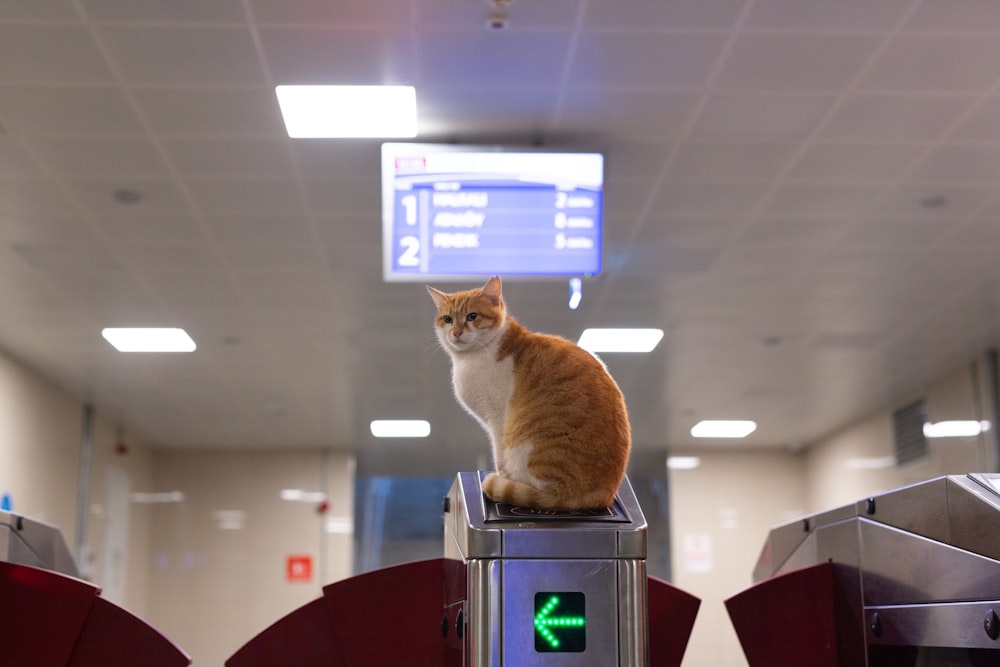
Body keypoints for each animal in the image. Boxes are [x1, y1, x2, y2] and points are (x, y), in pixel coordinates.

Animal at [426, 276, 628, 512]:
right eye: (448, 319)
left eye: (472, 316)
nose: (456, 333)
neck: (470, 358)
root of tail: (602, 495)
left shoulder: (497, 418)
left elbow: (499, 454)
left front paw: (502, 475)